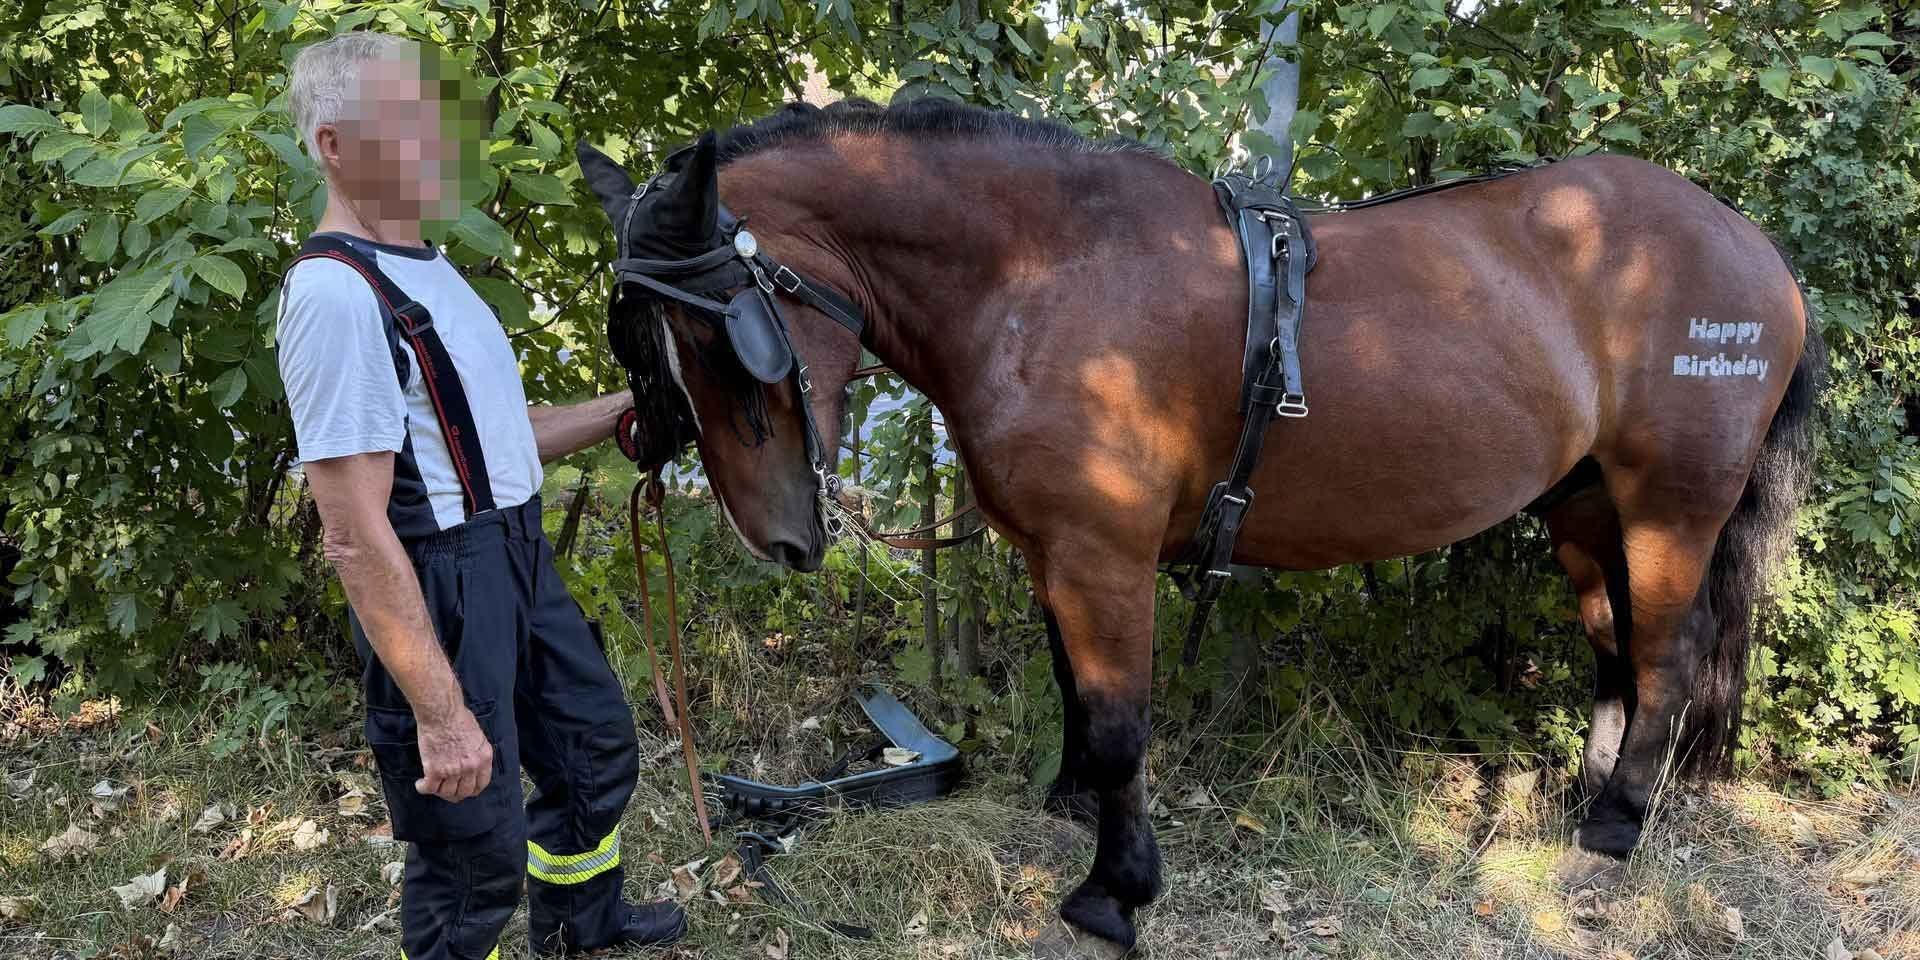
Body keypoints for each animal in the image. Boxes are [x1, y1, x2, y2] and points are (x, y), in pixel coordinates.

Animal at [575, 98, 1823, 955]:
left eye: (725, 335)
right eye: (651, 349)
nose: (776, 538)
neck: (1042, 279)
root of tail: (1757, 249)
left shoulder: (1103, 556)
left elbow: (1124, 719)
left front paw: (1112, 890)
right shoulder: (1058, 553)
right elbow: (1080, 698)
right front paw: (1073, 801)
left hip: (1671, 505)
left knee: (1666, 655)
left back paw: (1615, 828)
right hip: (1583, 502)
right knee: (1615, 651)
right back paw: (1585, 802)